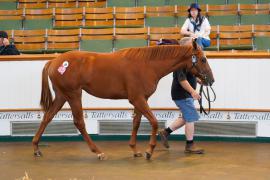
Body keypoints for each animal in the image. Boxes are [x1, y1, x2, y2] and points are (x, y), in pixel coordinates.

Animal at [31, 38, 213, 160]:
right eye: (203, 59)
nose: (211, 80)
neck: (147, 65)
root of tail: (54, 61)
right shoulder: (137, 99)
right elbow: (154, 122)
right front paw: (149, 151)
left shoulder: (140, 100)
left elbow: (136, 123)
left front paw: (135, 150)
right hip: (74, 95)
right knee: (79, 122)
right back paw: (98, 152)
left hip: (62, 96)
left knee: (47, 117)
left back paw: (36, 148)